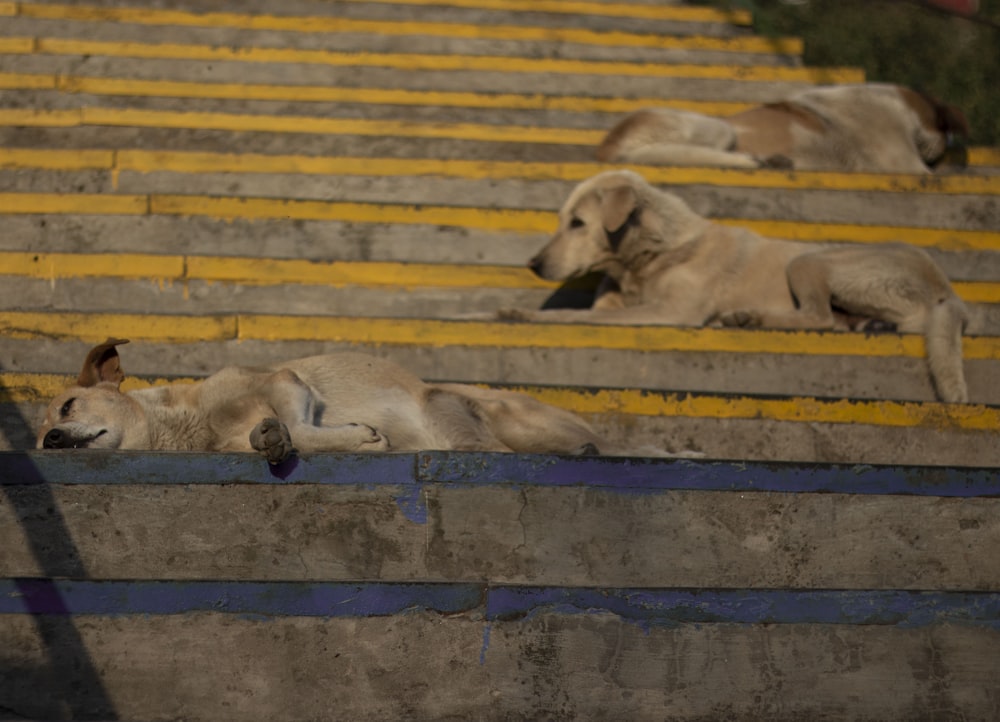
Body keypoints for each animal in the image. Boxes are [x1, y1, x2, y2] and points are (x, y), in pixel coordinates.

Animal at [504, 170, 972, 404]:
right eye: (562, 220)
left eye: (577, 223)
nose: (532, 264)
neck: (651, 254)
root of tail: (947, 289)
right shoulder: (615, 303)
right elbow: (587, 311)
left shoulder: (671, 312)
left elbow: (570, 315)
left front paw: (522, 313)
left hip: (810, 260)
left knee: (817, 315)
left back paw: (749, 317)